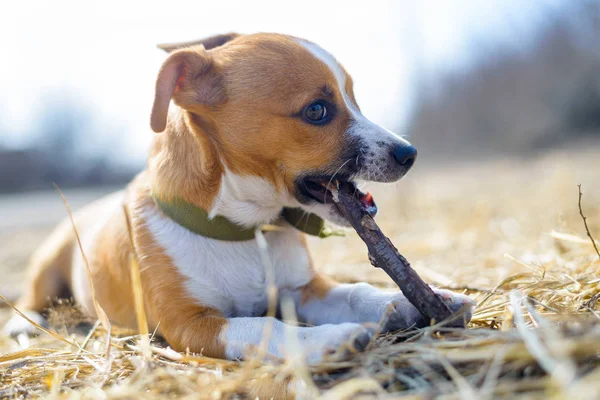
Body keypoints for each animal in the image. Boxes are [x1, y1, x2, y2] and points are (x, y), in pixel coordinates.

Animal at [3, 32, 474, 362]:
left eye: (353, 98)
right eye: (317, 110)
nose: (409, 154)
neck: (245, 229)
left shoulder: (304, 290)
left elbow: (354, 292)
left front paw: (411, 300)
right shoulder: (191, 325)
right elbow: (263, 327)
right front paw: (328, 339)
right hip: (47, 266)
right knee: (30, 301)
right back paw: (23, 326)